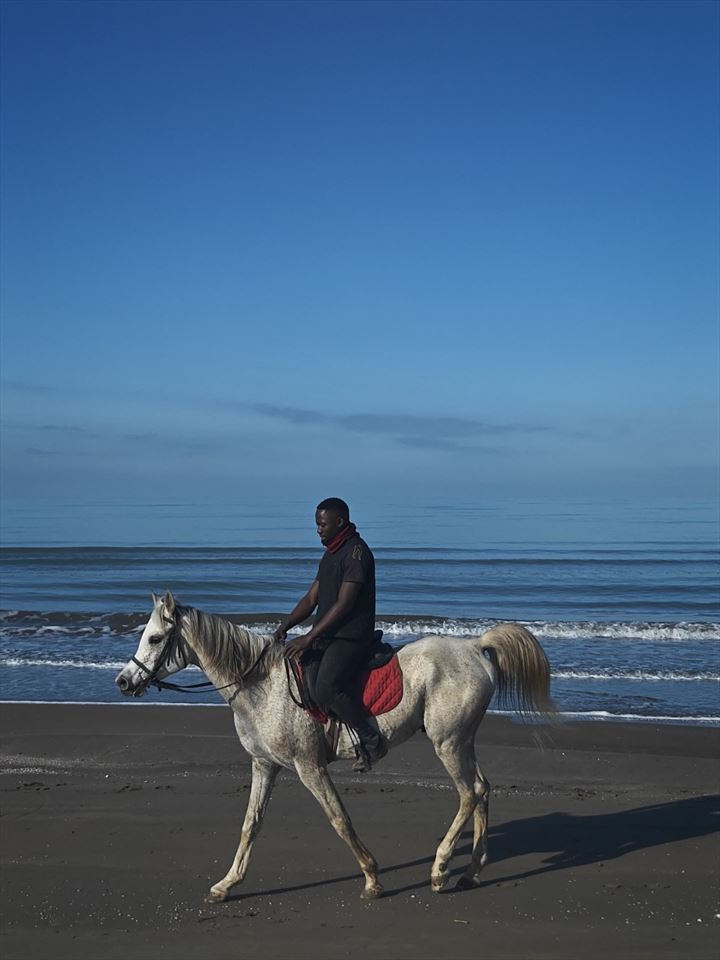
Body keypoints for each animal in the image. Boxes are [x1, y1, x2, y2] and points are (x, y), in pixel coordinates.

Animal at [116, 591, 555, 902]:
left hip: (447, 742)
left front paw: (373, 879)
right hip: (463, 740)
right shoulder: (264, 764)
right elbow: (250, 824)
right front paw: (226, 884)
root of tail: (474, 646)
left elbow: (339, 819)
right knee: (482, 790)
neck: (260, 685)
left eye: (155, 637)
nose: (123, 681)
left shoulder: (309, 766)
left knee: (469, 793)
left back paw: (441, 869)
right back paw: (470, 872)